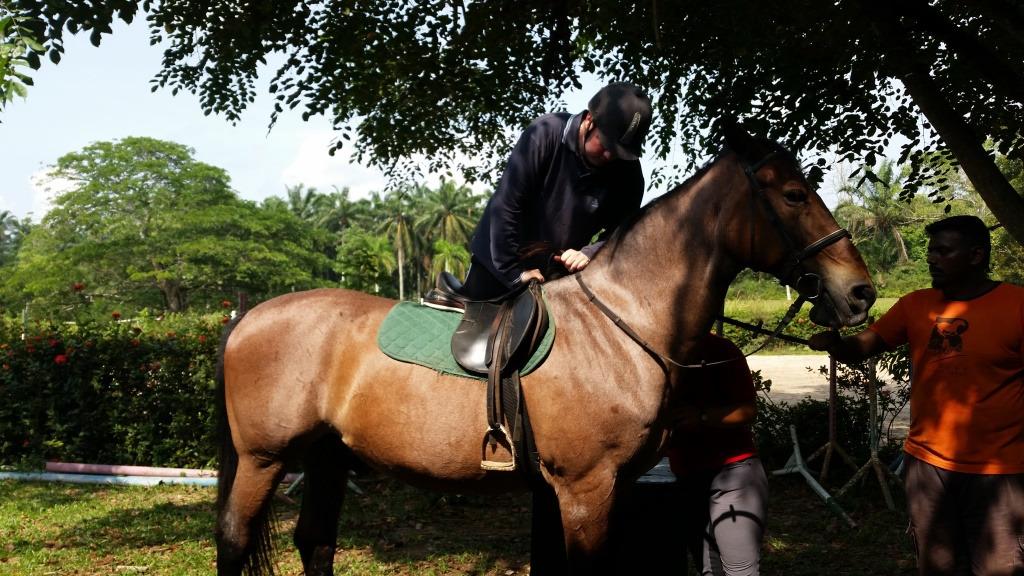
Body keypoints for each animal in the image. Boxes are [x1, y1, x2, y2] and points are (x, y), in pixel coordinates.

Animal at [214, 123, 876, 575]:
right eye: (793, 194)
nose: (860, 292)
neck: (622, 325)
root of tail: (248, 319)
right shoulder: (585, 488)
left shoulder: (607, 488)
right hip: (263, 460)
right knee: (234, 541)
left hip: (326, 457)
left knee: (315, 542)